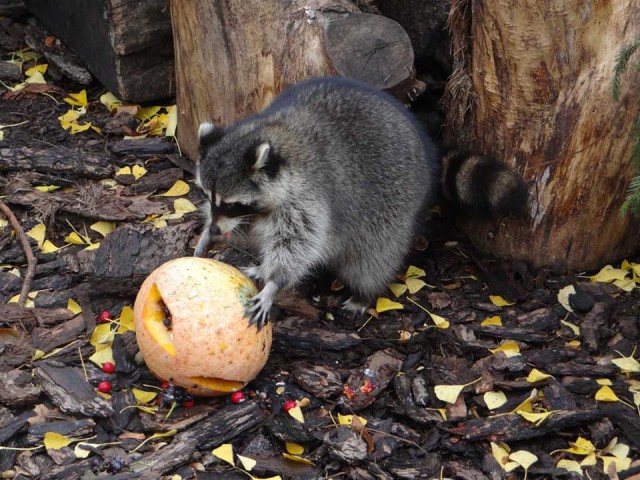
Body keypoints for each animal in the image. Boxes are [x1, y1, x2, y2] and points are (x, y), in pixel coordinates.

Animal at [195, 76, 524, 330]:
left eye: (232, 204)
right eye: (209, 197)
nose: (213, 230)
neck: (271, 132)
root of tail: (426, 147)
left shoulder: (308, 197)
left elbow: (299, 245)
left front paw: (275, 282)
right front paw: (215, 236)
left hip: (394, 207)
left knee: (374, 256)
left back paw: (365, 292)